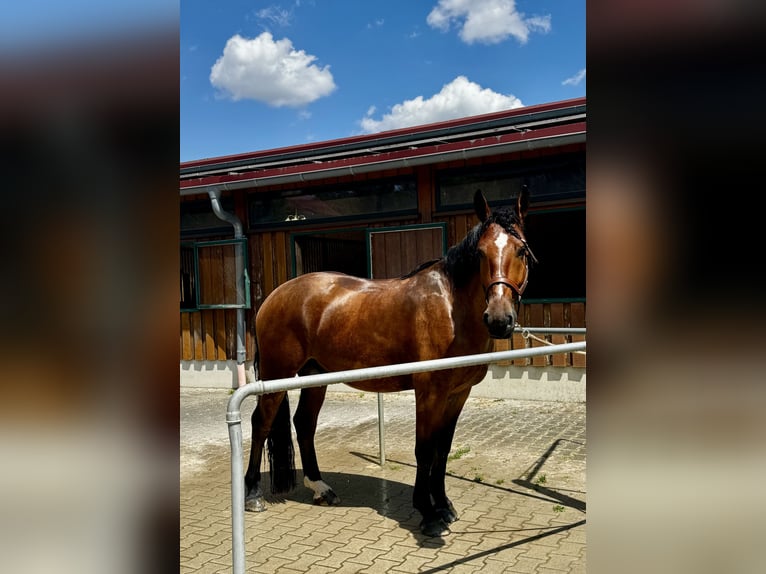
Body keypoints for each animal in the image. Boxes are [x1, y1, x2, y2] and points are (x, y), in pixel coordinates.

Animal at [244, 187, 537, 537]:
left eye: (522, 251)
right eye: (480, 253)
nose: (499, 319)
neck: (451, 308)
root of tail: (274, 296)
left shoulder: (457, 393)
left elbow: (443, 449)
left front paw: (444, 506)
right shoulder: (429, 392)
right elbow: (425, 450)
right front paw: (428, 513)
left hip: (316, 375)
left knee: (304, 423)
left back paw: (321, 488)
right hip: (278, 375)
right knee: (261, 423)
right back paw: (252, 494)